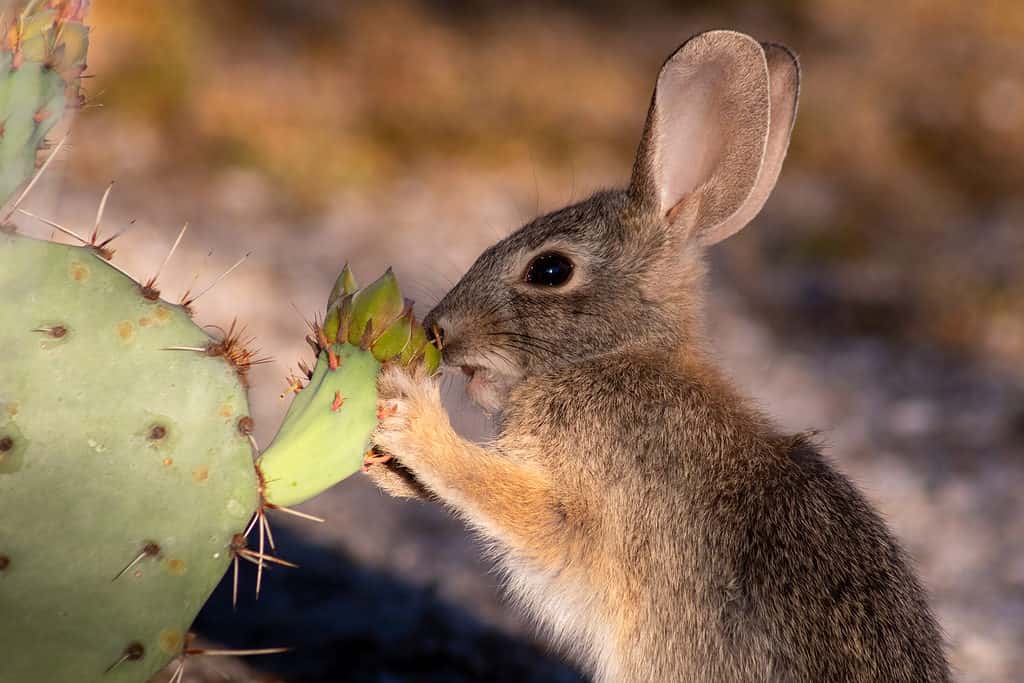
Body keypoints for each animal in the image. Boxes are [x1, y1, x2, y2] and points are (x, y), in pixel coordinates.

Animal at [362, 29, 950, 679]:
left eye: (550, 270)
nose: (438, 329)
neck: (618, 354)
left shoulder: (589, 507)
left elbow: (504, 496)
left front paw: (411, 417)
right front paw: (385, 467)